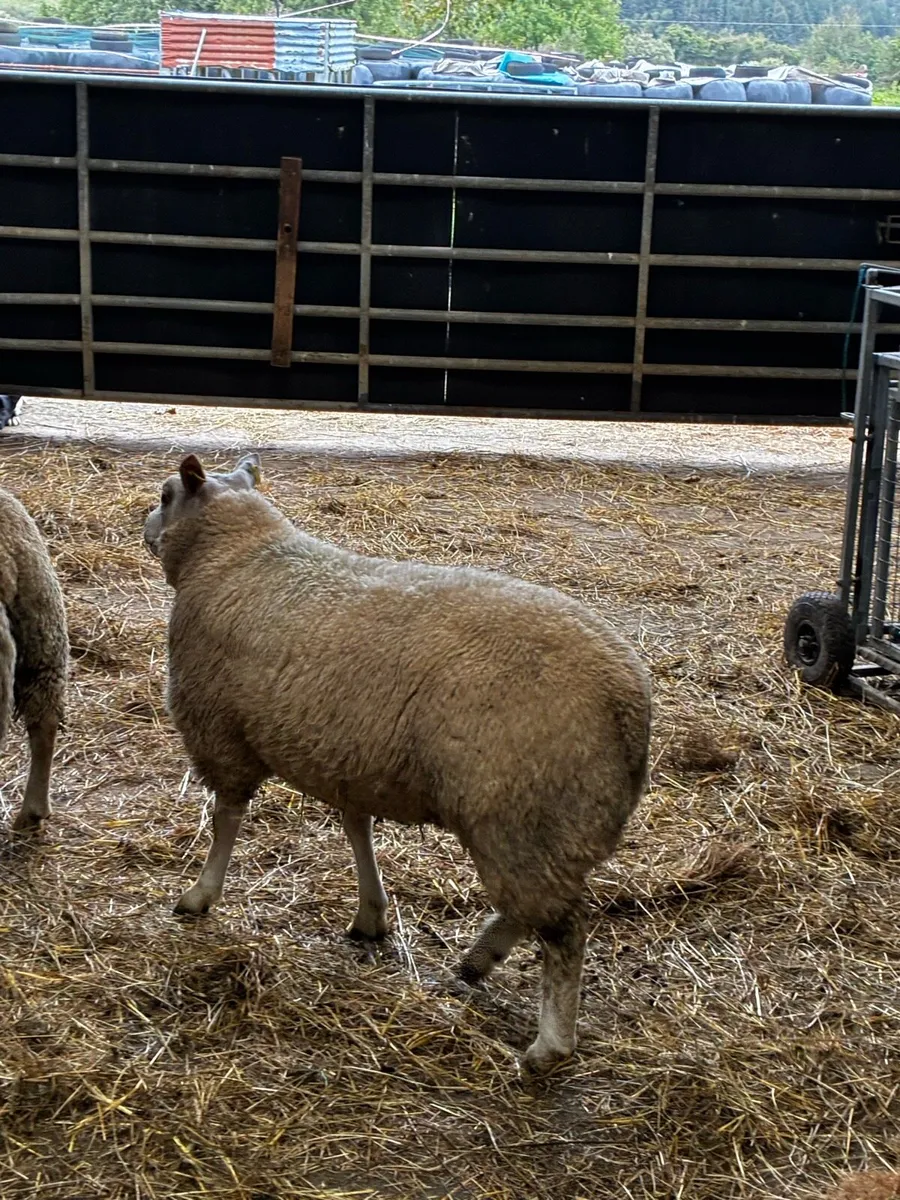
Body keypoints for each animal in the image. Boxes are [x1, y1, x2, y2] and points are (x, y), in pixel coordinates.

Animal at [143, 452, 652, 1073]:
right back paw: (478, 960)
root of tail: (631, 707)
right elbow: (356, 828)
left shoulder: (221, 734)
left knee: (564, 930)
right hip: (551, 826)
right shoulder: (349, 754)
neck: (237, 554)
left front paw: (200, 895)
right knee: (533, 909)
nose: (145, 525)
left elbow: (226, 819)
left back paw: (549, 1043)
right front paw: (371, 915)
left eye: (165, 495)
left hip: (523, 815)